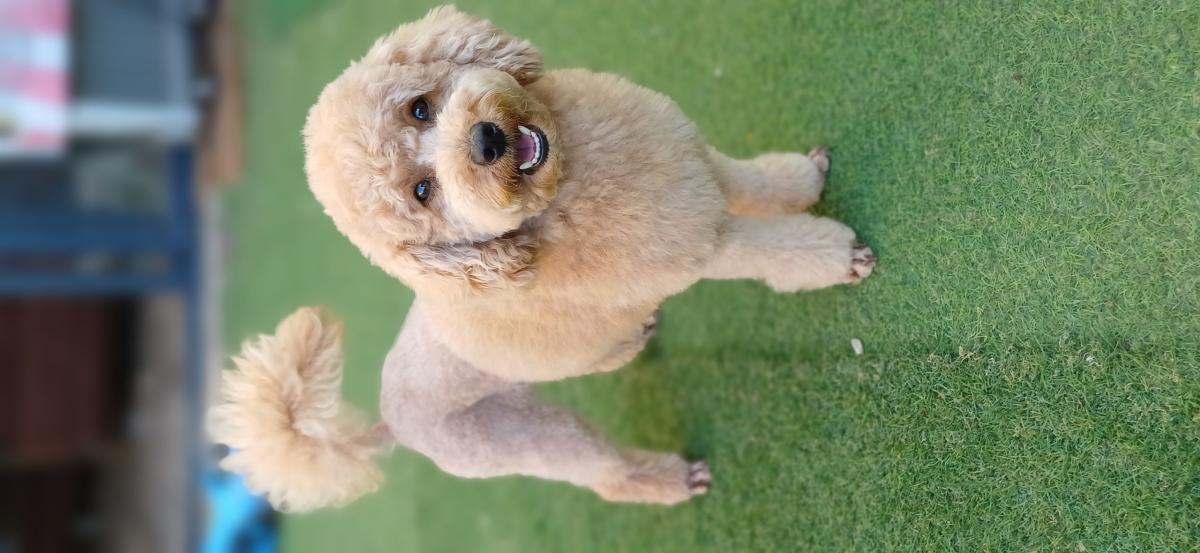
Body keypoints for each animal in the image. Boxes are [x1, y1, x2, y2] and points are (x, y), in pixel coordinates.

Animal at [208, 5, 875, 511]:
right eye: (423, 192)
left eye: (419, 107)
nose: (485, 140)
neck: (566, 179)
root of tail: (388, 419)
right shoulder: (702, 246)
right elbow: (779, 251)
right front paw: (842, 256)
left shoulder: (699, 168)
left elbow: (760, 181)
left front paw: (807, 179)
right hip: (532, 439)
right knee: (604, 473)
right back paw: (671, 479)